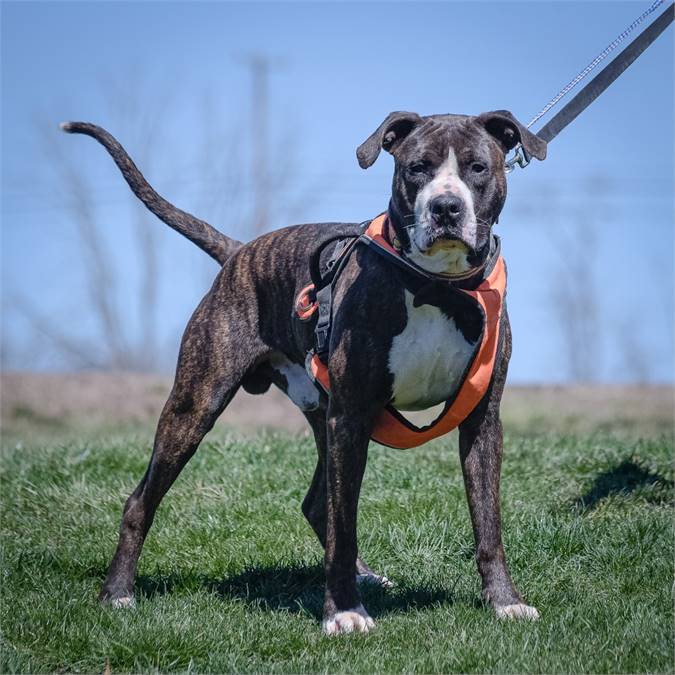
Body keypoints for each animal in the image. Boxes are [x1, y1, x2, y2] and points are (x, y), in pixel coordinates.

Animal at [60, 109, 548, 632]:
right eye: (417, 168)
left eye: (478, 167)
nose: (446, 207)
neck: (438, 285)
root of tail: (238, 250)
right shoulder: (351, 416)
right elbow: (345, 522)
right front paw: (345, 611)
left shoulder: (481, 419)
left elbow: (487, 521)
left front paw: (504, 600)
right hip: (196, 403)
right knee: (143, 500)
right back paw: (117, 593)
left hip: (321, 415)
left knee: (319, 504)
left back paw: (368, 577)